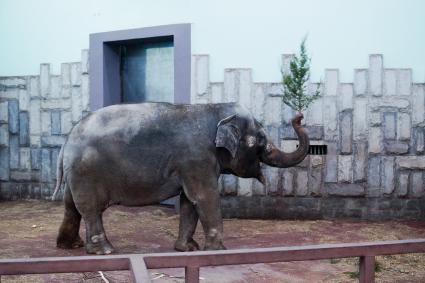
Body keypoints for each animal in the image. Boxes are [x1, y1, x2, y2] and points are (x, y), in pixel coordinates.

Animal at [52, 101, 308, 255]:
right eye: (261, 140)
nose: (299, 115)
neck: (215, 109)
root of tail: (67, 140)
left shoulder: (191, 164)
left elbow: (188, 202)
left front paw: (188, 249)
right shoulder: (197, 158)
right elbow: (205, 198)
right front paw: (219, 251)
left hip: (76, 173)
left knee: (71, 206)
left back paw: (71, 246)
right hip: (87, 172)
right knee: (91, 210)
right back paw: (105, 251)